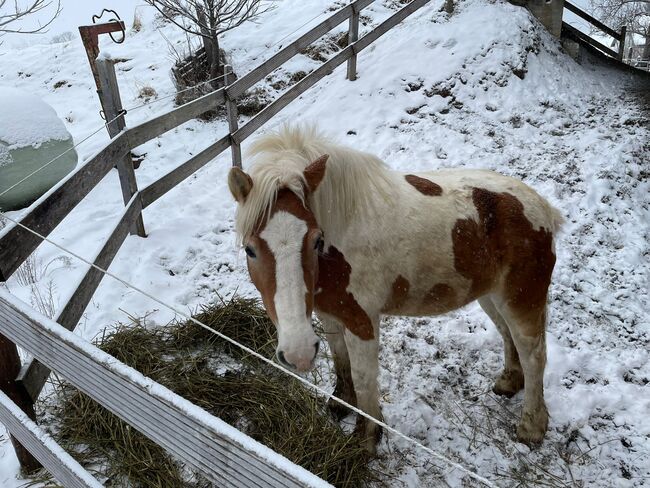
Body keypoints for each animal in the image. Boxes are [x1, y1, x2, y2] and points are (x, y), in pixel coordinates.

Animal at [228, 126, 560, 454]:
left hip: (521, 298)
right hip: (491, 296)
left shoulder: (361, 322)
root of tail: (543, 209)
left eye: (316, 240)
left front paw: (366, 439)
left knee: (534, 354)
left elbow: (364, 379)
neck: (338, 241)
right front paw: (341, 404)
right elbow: (340, 360)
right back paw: (509, 383)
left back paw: (532, 427)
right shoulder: (330, 315)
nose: (298, 354)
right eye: (250, 250)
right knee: (507, 335)